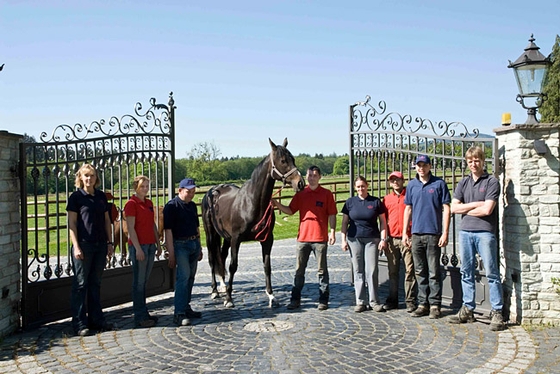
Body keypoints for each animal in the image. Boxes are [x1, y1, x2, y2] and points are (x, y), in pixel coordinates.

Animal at [202, 137, 304, 306]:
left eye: (293, 159)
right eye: (283, 160)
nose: (300, 183)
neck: (251, 203)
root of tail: (211, 192)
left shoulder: (267, 239)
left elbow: (267, 266)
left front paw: (271, 296)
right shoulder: (236, 239)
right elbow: (233, 266)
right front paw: (229, 299)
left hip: (226, 238)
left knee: (221, 257)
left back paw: (223, 286)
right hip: (211, 234)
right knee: (212, 259)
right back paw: (215, 291)